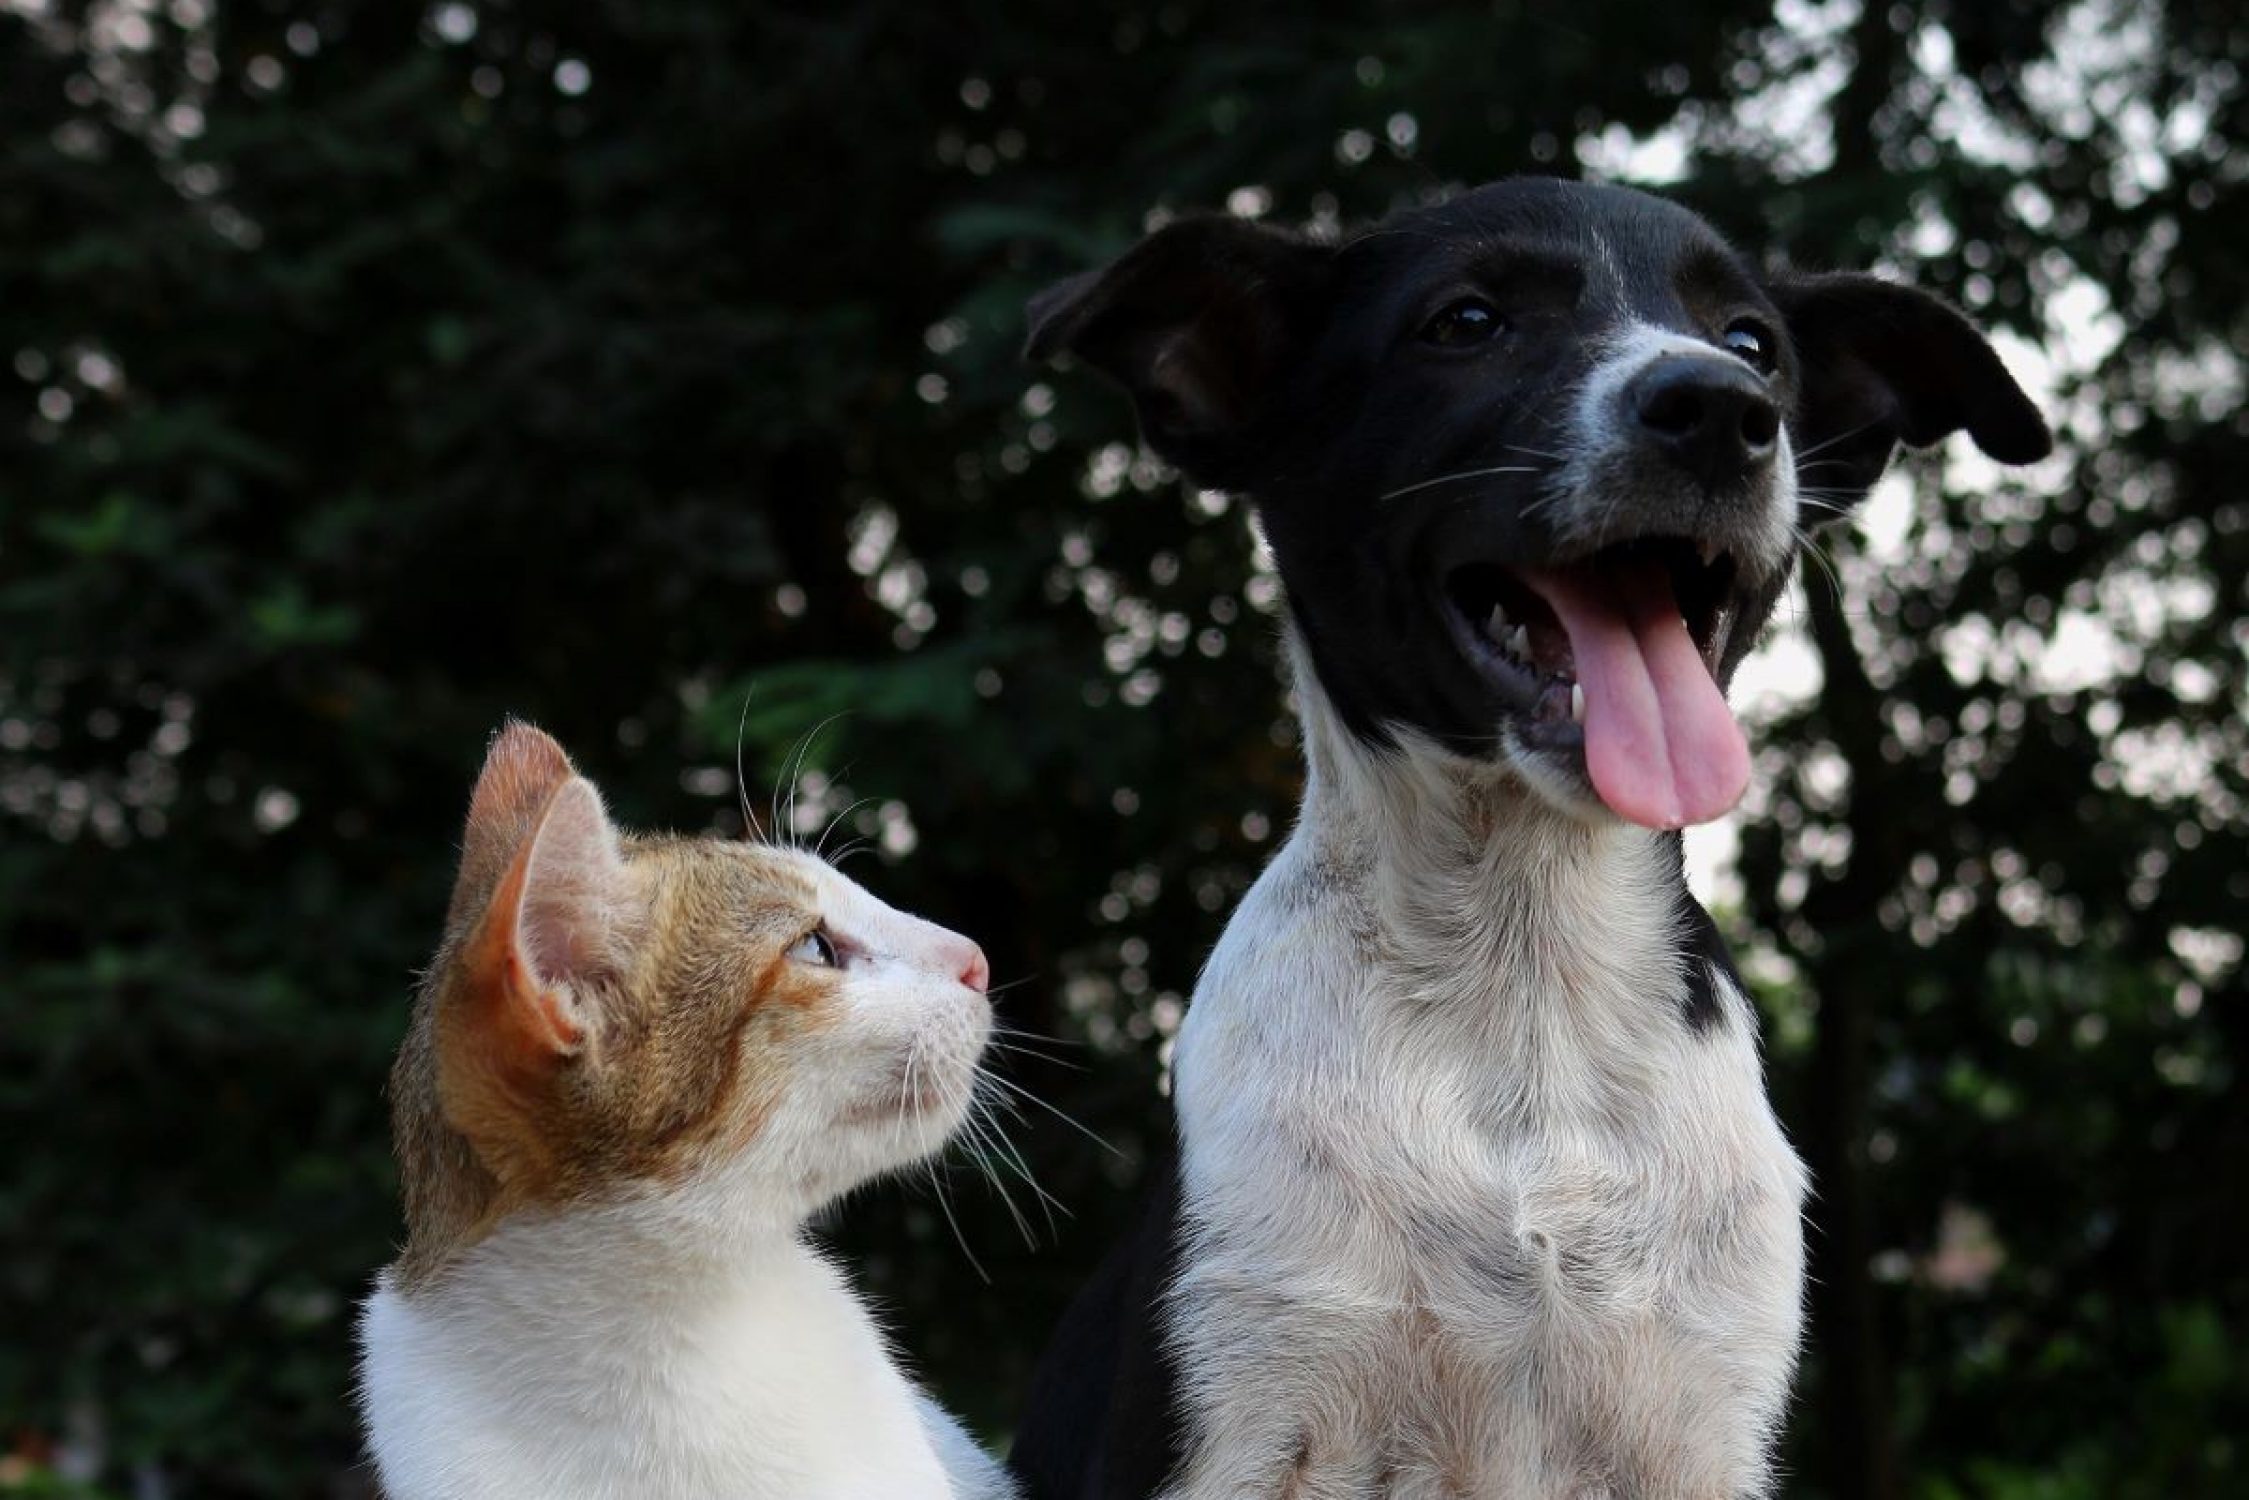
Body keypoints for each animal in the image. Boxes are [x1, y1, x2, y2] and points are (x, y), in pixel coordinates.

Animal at [1012, 178, 2051, 1500]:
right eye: (1465, 320)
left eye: (1751, 341)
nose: (1720, 410)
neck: (1524, 990)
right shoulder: (1243, 1407)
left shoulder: (1699, 1431)